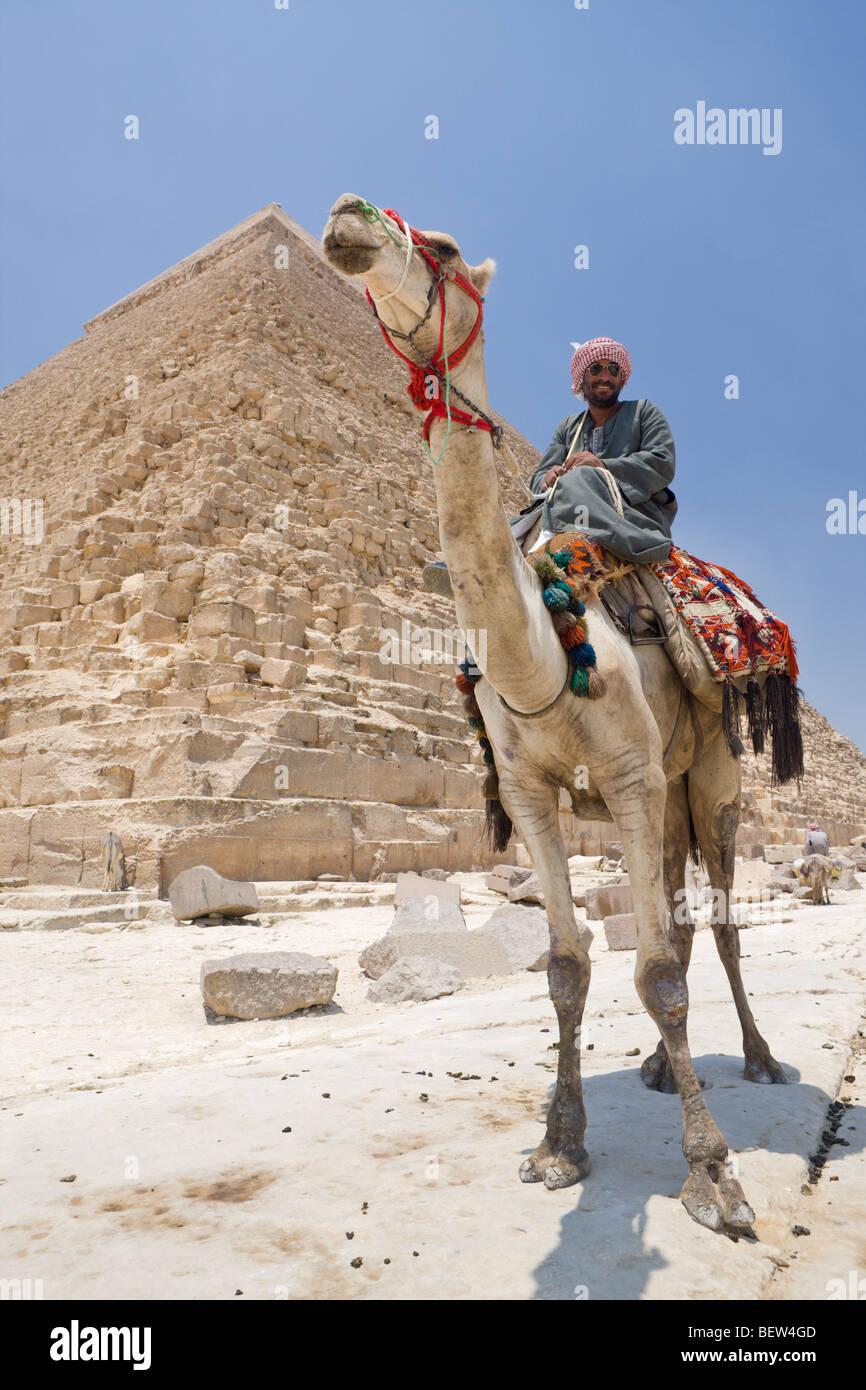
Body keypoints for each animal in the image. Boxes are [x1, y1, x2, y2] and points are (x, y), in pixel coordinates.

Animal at [321, 193, 789, 1232]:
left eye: (445, 246)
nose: (346, 218)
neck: (543, 651)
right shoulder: (535, 797)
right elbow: (570, 968)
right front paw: (559, 1144)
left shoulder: (631, 779)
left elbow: (654, 972)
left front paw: (713, 1174)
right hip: (661, 798)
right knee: (682, 922)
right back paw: (656, 1068)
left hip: (709, 775)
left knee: (719, 920)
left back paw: (760, 1057)